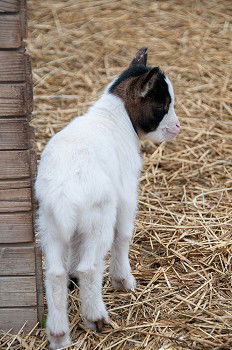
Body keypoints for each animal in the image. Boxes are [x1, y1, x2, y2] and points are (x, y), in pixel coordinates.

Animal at [35, 47, 179, 348]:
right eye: (162, 106)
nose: (177, 127)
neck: (115, 116)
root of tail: (65, 193)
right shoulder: (126, 194)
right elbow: (123, 236)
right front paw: (123, 280)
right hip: (98, 219)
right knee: (90, 267)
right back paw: (96, 318)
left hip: (50, 224)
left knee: (54, 274)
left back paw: (58, 335)